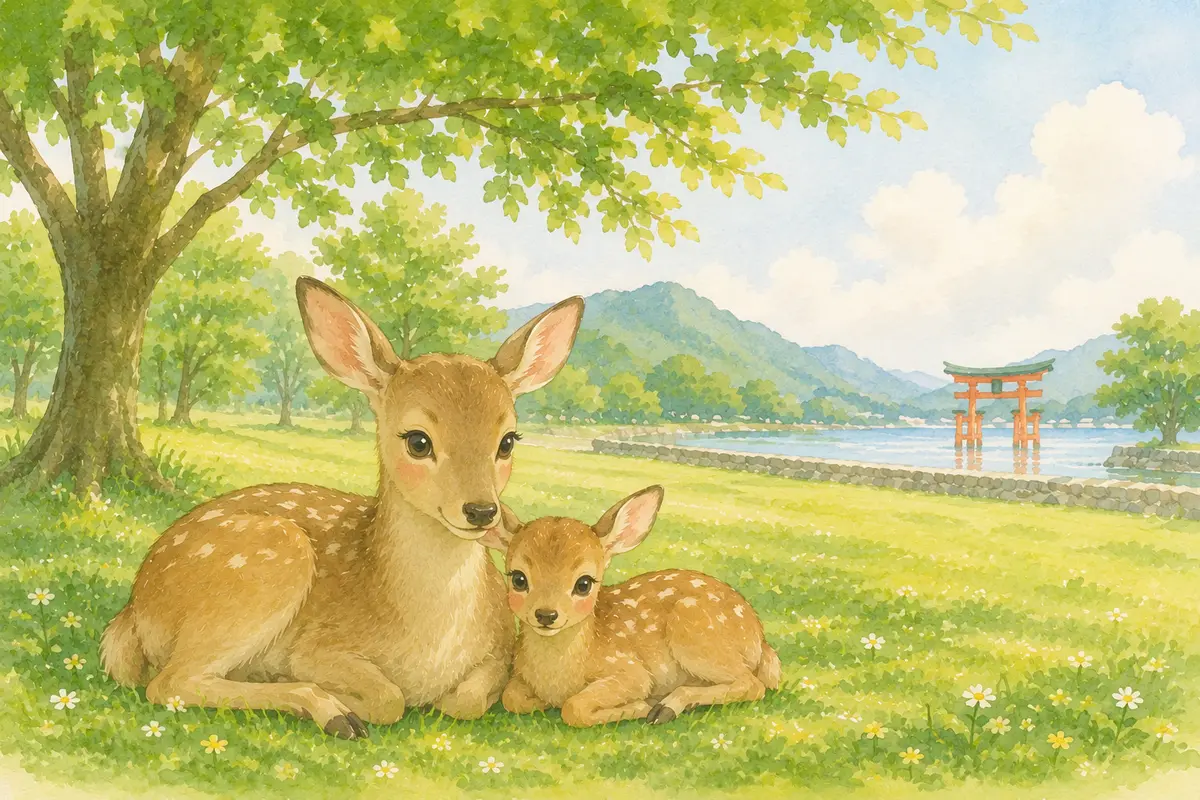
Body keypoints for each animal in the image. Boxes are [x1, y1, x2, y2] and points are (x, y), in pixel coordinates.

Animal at [100, 277, 584, 739]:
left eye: (508, 441)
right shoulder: (318, 648)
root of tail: (135, 607)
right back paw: (330, 712)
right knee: (169, 682)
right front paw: (346, 701)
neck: (430, 641)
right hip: (264, 568)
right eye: (418, 440)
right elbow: (389, 699)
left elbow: (463, 702)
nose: (482, 511)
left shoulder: (501, 649)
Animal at [483, 485, 781, 727]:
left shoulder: (630, 671)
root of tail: (759, 636)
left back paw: (666, 708)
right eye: (518, 578)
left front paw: (641, 706)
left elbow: (574, 708)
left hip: (694, 634)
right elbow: (511, 698)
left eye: (584, 583)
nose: (546, 614)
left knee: (752, 684)